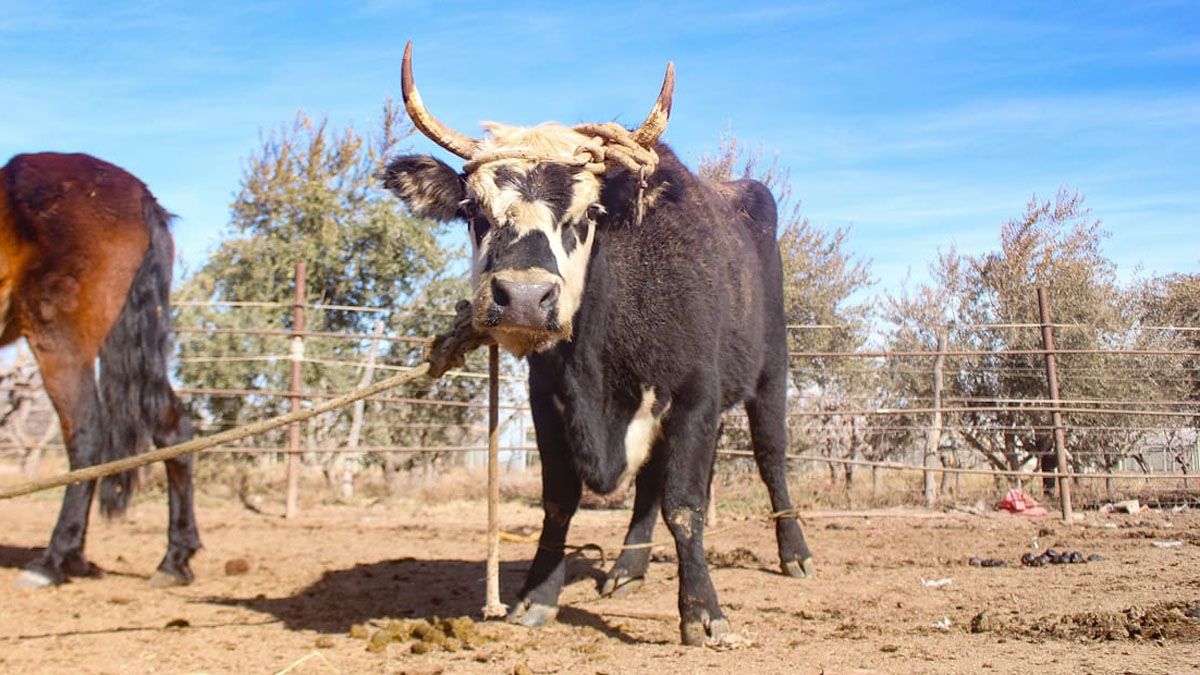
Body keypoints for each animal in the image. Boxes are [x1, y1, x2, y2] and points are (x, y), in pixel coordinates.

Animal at [382, 42, 814, 646]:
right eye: (471, 211)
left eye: (588, 214)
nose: (523, 296)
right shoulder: (549, 400)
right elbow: (560, 500)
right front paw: (537, 595)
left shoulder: (695, 395)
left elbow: (686, 505)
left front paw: (702, 611)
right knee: (651, 484)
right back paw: (628, 566)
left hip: (771, 371)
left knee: (770, 456)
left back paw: (793, 551)